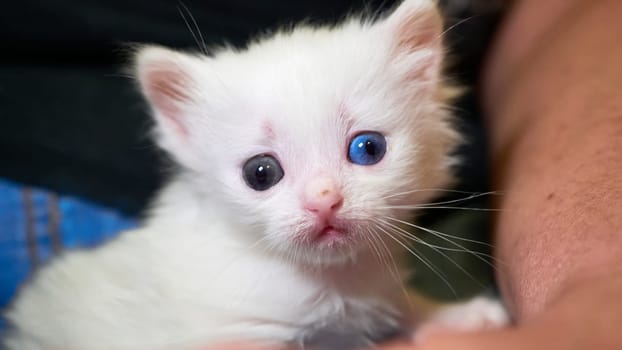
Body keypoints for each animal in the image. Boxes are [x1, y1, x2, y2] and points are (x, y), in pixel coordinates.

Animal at [2, 1, 510, 348]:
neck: (326, 280)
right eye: (261, 173)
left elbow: (403, 303)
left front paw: (457, 315)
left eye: (368, 149)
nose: (324, 199)